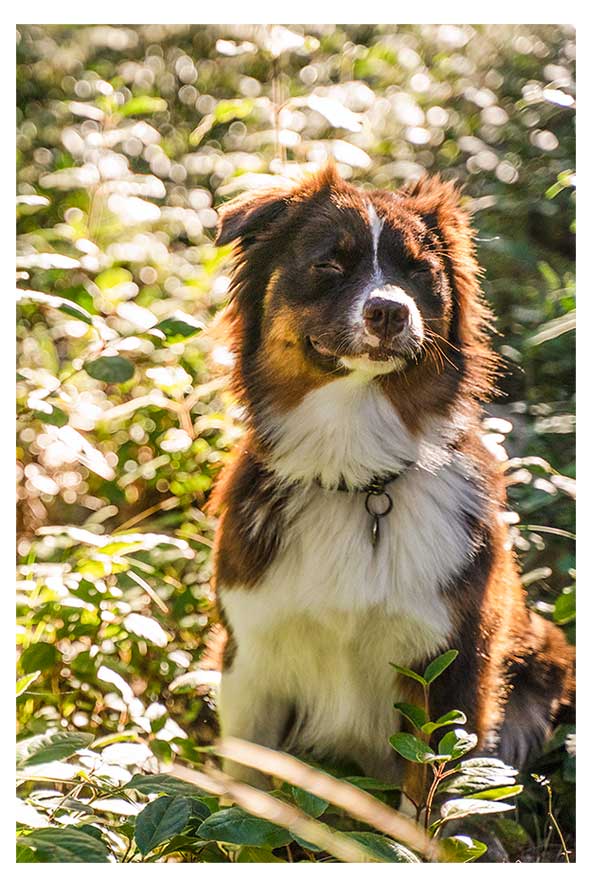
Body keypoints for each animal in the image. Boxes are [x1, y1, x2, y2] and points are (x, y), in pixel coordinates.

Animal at [208, 163, 572, 796]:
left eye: (418, 271)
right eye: (330, 263)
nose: (390, 311)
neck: (357, 473)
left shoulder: (450, 668)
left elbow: (424, 801)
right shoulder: (252, 660)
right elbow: (246, 793)